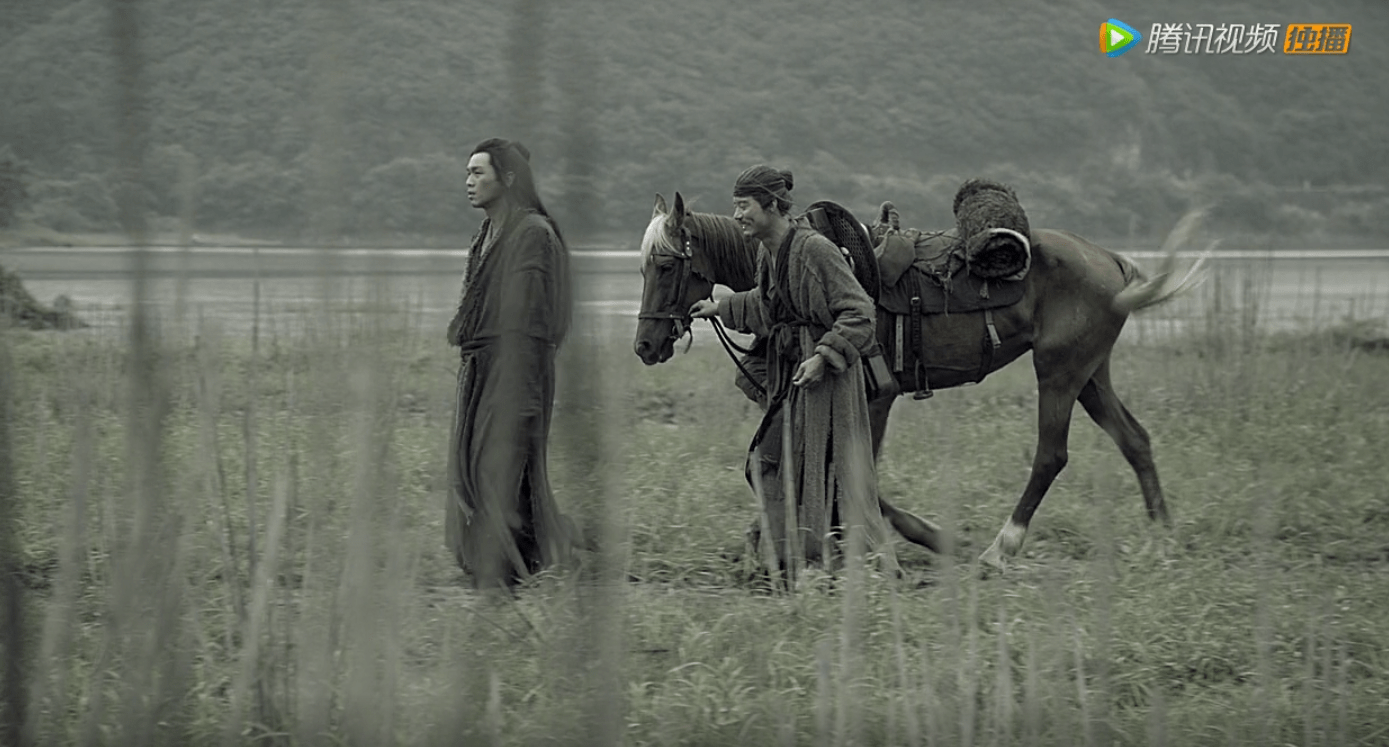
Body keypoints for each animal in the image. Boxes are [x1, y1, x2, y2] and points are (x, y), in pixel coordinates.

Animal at [636, 191, 1205, 569]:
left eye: (665, 264)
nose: (645, 345)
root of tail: (1112, 262)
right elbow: (802, 467)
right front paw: (770, 541)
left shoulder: (875, 394)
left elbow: (856, 472)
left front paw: (917, 540)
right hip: (1090, 373)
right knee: (1134, 440)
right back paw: (1163, 540)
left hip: (1060, 372)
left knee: (1051, 456)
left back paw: (1000, 549)